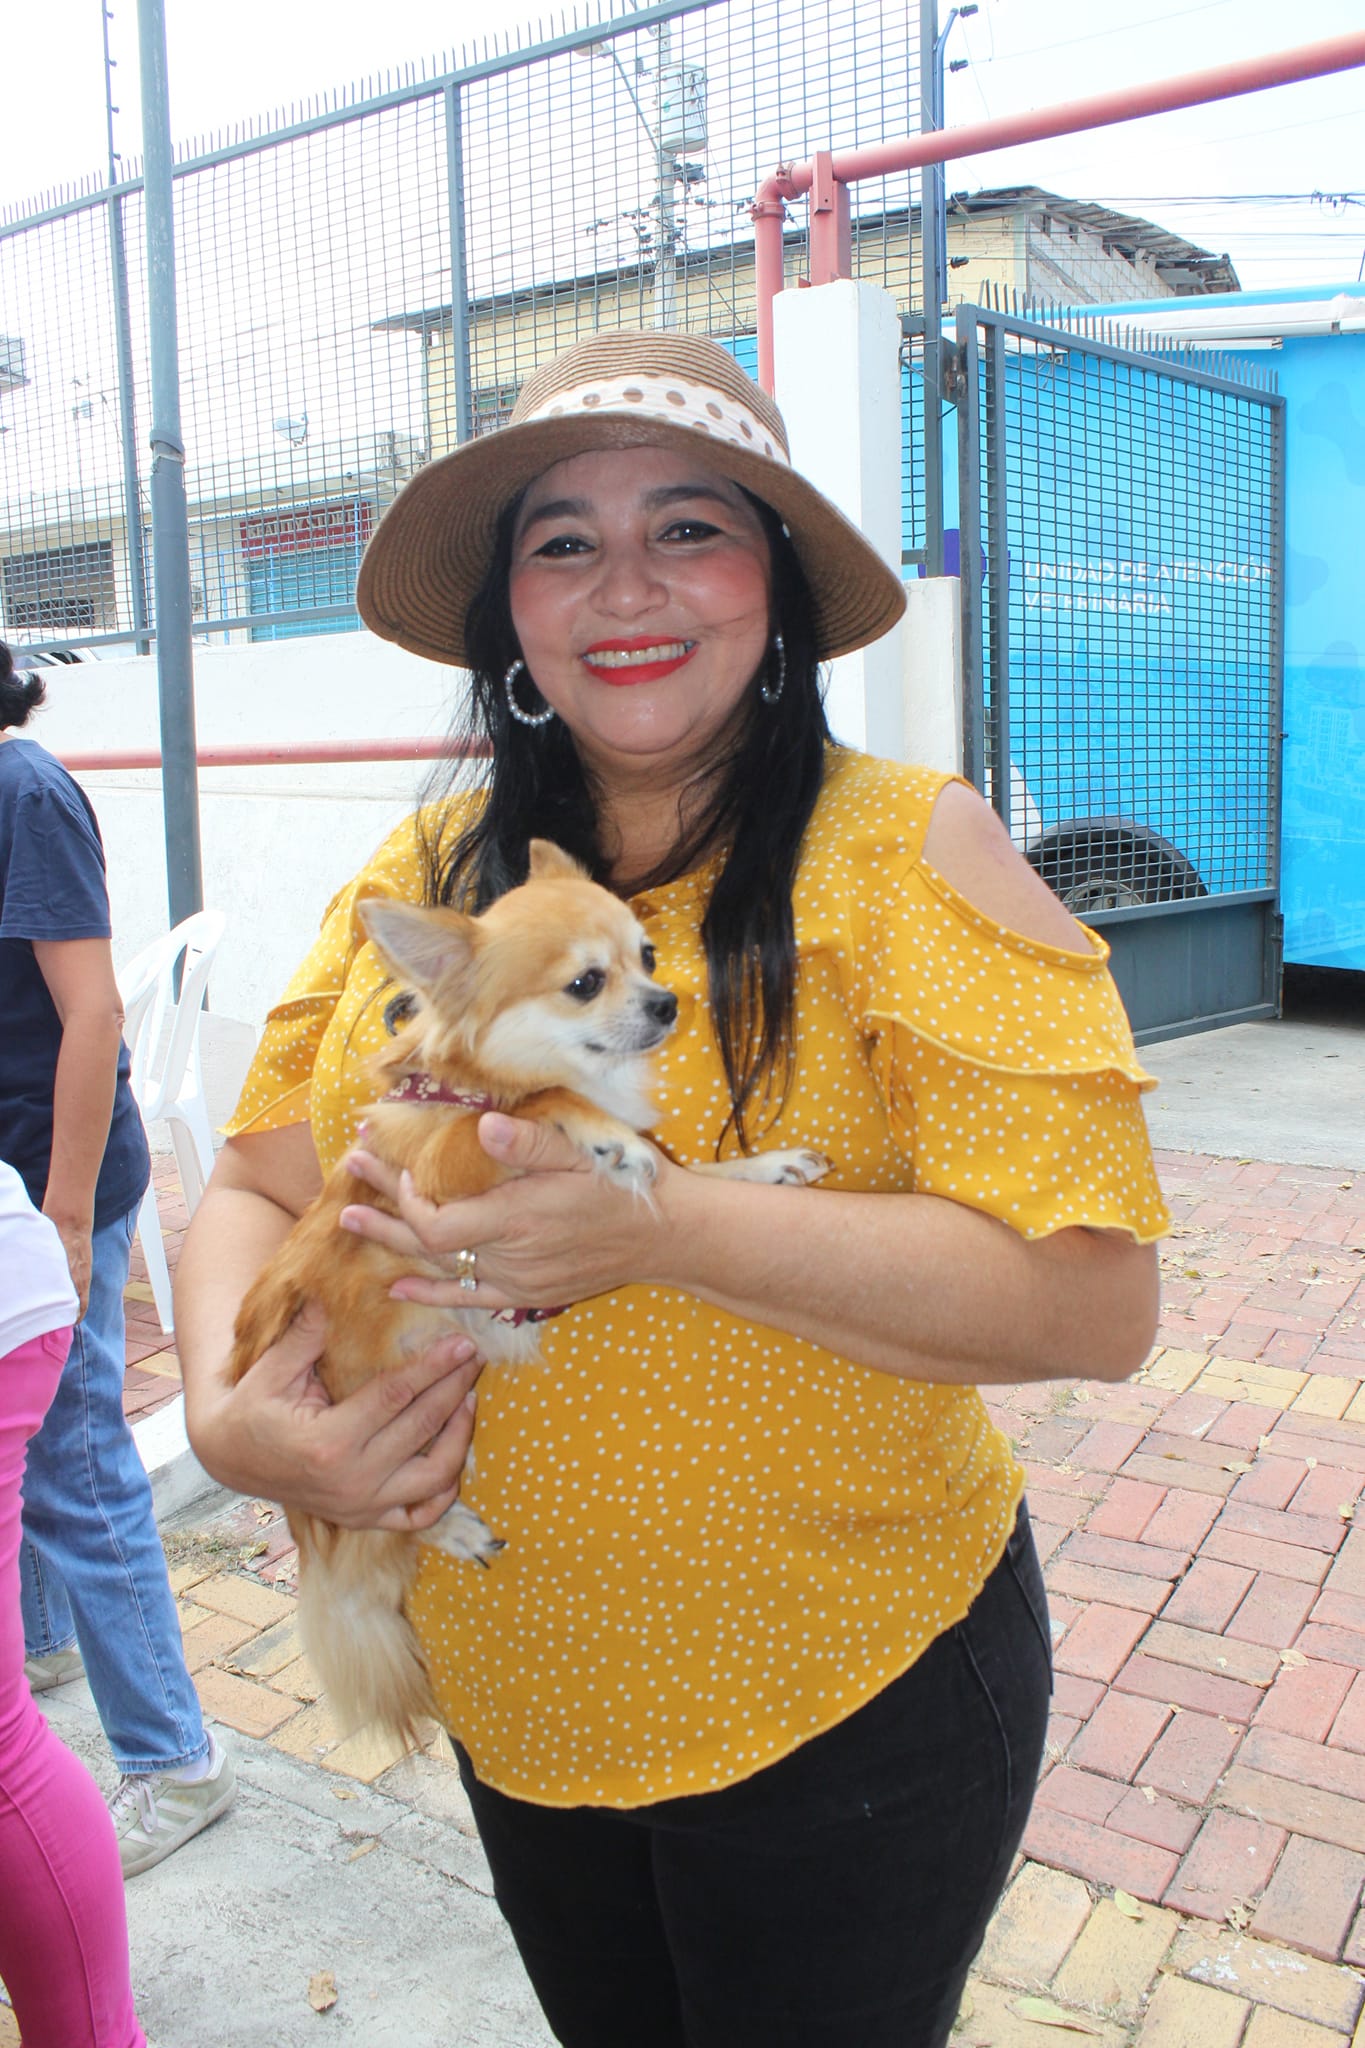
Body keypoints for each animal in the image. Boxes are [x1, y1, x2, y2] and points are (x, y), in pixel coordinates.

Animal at [228, 840, 829, 1743]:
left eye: (647, 958)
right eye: (584, 983)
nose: (666, 1003)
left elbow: (696, 1177)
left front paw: (766, 1167)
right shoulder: (446, 1161)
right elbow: (550, 1098)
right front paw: (604, 1134)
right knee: (383, 1525)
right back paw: (452, 1526)